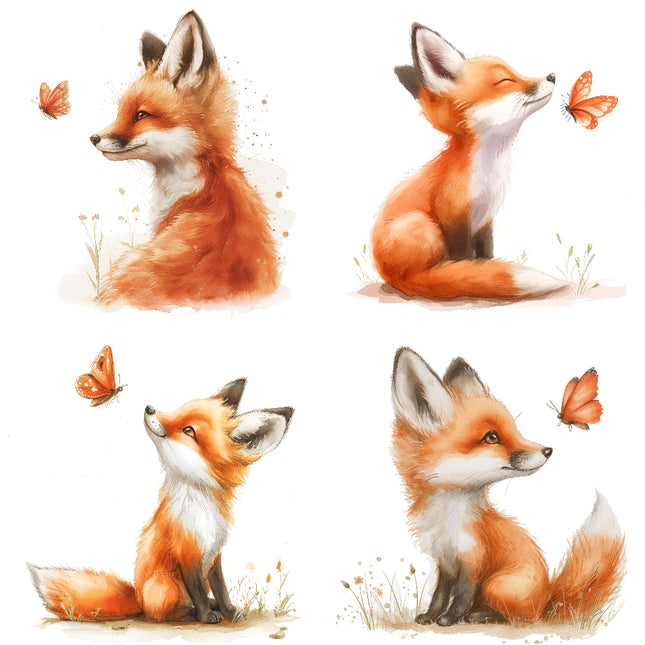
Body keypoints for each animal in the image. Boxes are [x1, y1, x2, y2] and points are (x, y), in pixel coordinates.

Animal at [28, 379, 294, 623]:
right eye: (178, 410)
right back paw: (191, 613)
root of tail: (138, 598)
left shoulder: (215, 555)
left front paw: (228, 611)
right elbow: (197, 591)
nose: (149, 408)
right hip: (165, 583)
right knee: (163, 614)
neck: (201, 511)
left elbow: (221, 589)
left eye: (189, 431)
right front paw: (206, 616)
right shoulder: (186, 553)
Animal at [371, 24, 569, 300]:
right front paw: (471, 279)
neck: (489, 172)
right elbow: (464, 261)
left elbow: (486, 256)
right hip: (423, 227)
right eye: (505, 81)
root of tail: (393, 276)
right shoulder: (454, 219)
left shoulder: (485, 222)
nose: (551, 76)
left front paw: (485, 272)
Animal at [390, 347, 625, 626]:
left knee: (521, 618)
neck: (449, 520)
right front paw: (430, 616)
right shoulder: (445, 560)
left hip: (496, 584)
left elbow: (462, 595)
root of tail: (546, 599)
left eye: (514, 430)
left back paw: (480, 615)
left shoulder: (474, 558)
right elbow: (440, 593)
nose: (548, 450)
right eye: (492, 437)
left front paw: (450, 618)